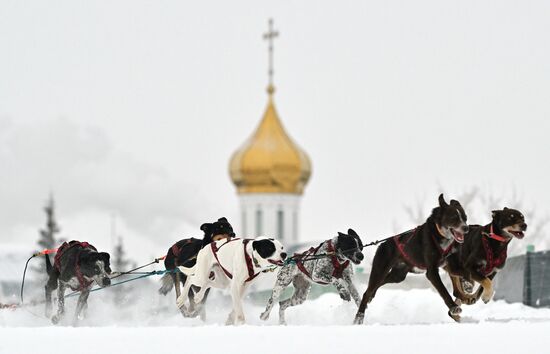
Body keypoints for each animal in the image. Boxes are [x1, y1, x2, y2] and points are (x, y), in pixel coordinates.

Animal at [354, 195, 470, 324]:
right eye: (454, 218)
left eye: (465, 218)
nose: (466, 228)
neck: (440, 235)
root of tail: (383, 244)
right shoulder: (432, 272)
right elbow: (443, 290)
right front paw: (454, 307)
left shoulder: (451, 263)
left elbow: (464, 273)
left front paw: (467, 284)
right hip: (380, 271)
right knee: (367, 292)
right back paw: (359, 317)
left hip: (398, 276)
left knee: (378, 285)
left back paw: (371, 297)